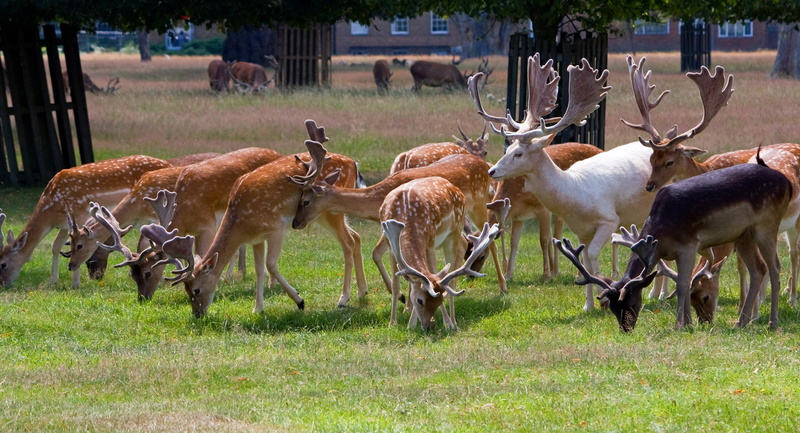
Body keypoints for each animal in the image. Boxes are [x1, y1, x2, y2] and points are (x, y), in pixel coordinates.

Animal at [0, 155, 172, 288]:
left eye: (3, 264)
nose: (3, 284)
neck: (52, 208)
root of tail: (169, 164)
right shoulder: (64, 225)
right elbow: (55, 246)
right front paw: (53, 281)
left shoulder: (80, 215)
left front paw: (75, 283)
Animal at [154, 137, 367, 317]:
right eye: (186, 288)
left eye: (196, 289)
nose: (197, 314)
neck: (241, 223)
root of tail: (353, 164)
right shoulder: (257, 238)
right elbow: (258, 269)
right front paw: (258, 308)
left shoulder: (276, 227)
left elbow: (271, 265)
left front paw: (299, 301)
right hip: (322, 216)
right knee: (356, 236)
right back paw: (362, 292)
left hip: (330, 211)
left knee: (348, 242)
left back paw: (343, 299)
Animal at [380, 177, 502, 330]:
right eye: (420, 301)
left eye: (439, 300)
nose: (429, 325)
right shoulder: (390, 244)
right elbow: (396, 285)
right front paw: (394, 323)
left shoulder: (430, 241)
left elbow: (432, 275)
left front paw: (445, 323)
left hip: (454, 231)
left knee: (453, 277)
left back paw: (453, 322)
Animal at [470, 53, 656, 312]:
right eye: (508, 148)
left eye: (519, 154)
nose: (492, 170)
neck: (573, 193)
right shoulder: (581, 230)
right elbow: (585, 261)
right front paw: (588, 306)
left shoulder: (609, 219)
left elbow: (594, 257)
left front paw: (605, 299)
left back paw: (658, 294)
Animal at [556, 150, 793, 331]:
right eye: (613, 306)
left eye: (631, 300)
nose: (626, 328)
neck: (661, 232)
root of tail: (786, 183)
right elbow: (685, 282)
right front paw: (688, 322)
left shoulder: (689, 245)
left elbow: (681, 284)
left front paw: (680, 325)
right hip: (743, 236)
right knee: (758, 269)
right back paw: (741, 322)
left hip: (767, 226)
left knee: (775, 267)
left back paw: (772, 322)